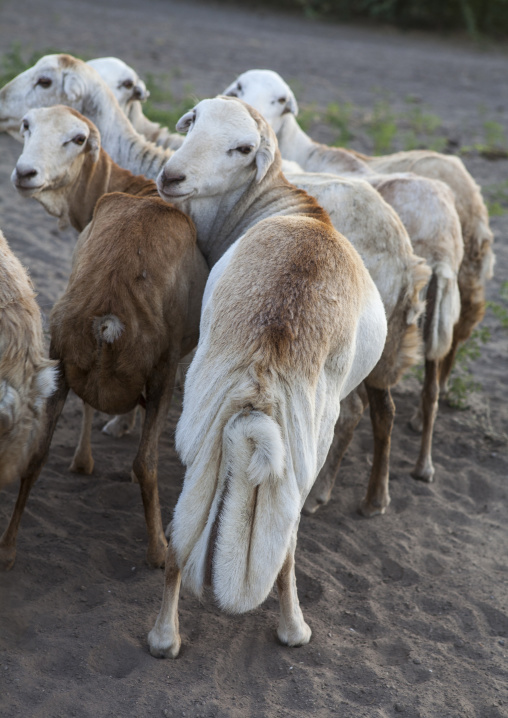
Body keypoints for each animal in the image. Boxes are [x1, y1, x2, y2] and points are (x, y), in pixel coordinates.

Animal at [1, 106, 208, 570]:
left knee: (35, 457)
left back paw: (8, 549)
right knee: (145, 463)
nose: (25, 173)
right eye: (26, 125)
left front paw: (83, 459)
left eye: (77, 139)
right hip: (160, 367)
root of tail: (109, 314)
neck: (133, 188)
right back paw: (158, 550)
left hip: (59, 358)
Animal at [146, 95, 388, 657]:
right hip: (299, 445)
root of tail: (264, 365)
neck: (285, 204)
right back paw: (292, 628)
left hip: (206, 426)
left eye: (241, 148)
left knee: (184, 539)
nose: (172, 176)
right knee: (284, 543)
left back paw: (165, 637)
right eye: (193, 123)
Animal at [225, 70, 465, 484]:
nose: (254, 120)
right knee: (429, 386)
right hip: (431, 310)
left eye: (282, 101)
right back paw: (423, 465)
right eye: (238, 88)